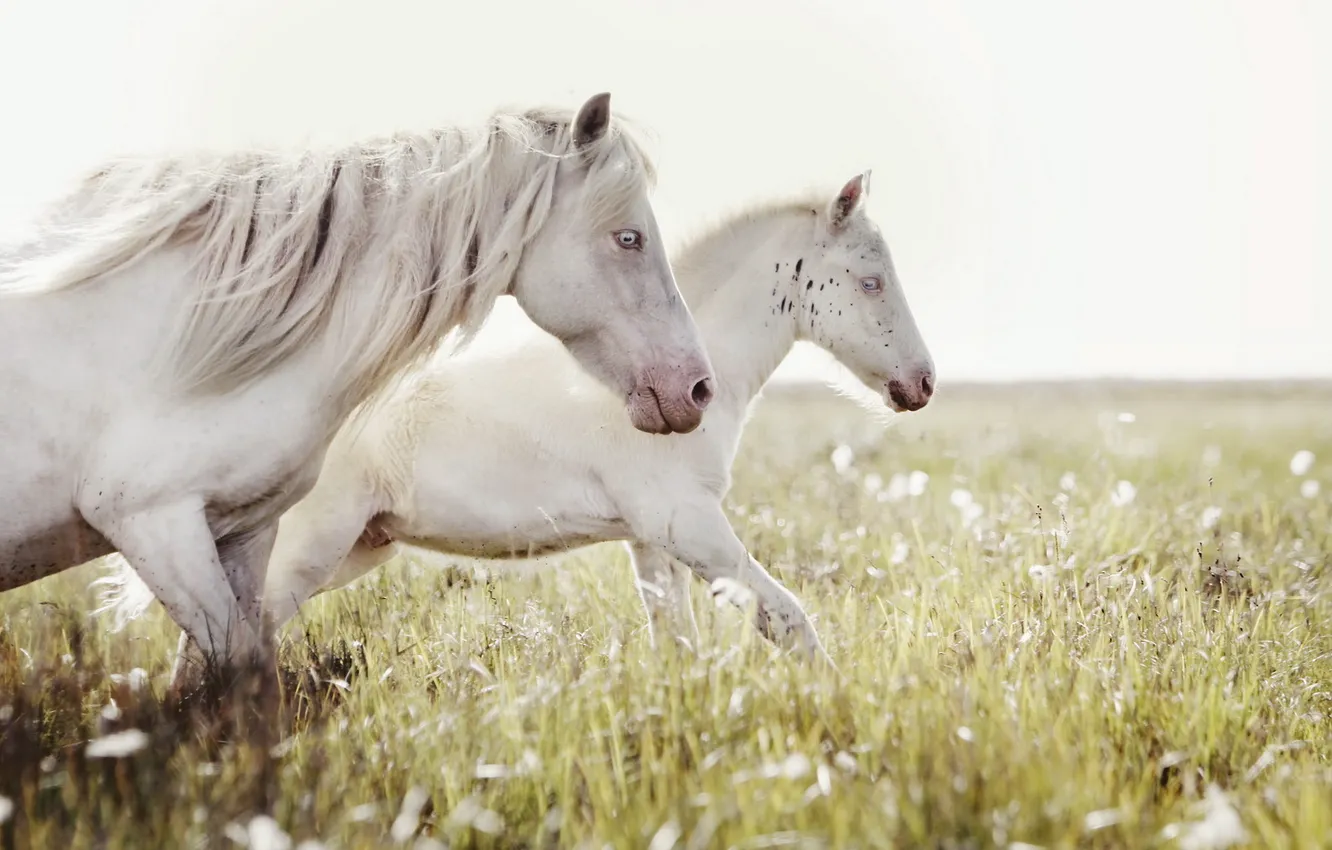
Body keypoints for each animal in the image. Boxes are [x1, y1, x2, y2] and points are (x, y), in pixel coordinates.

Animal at [1, 92, 716, 691]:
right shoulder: (154, 524)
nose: (698, 388)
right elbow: (234, 670)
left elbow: (230, 673)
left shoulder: (241, 533)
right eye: (628, 237)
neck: (198, 336)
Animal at [95, 171, 934, 669]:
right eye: (869, 280)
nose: (921, 384)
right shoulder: (688, 524)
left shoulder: (653, 540)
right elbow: (789, 619)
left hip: (354, 549)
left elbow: (678, 641)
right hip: (311, 546)